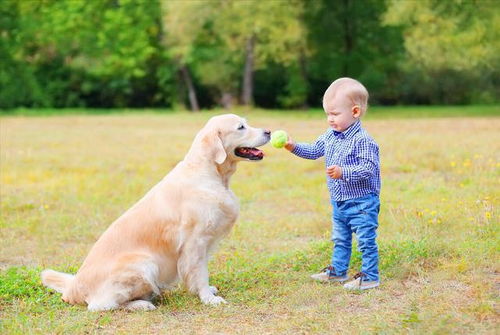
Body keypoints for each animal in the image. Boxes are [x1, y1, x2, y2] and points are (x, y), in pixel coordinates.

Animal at [41, 115, 272, 312]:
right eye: (240, 127)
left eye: (247, 123)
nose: (269, 131)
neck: (210, 173)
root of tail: (73, 287)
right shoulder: (195, 241)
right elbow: (199, 272)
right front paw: (208, 298)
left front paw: (206, 291)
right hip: (144, 264)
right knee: (100, 305)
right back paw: (142, 304)